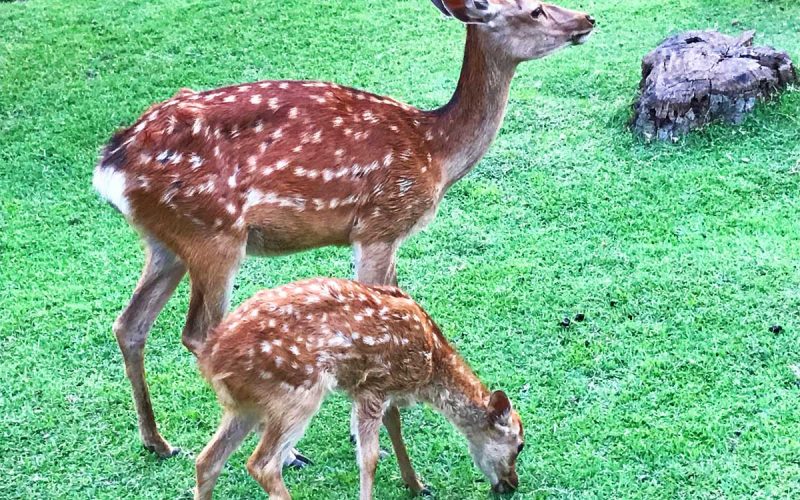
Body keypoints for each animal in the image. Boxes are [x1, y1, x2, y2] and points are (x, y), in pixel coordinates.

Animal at [92, 0, 593, 464]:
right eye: (535, 9)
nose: (587, 19)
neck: (436, 152)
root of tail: (110, 166)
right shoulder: (381, 224)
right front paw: (370, 432)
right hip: (214, 234)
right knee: (198, 332)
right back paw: (285, 451)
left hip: (166, 242)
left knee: (130, 323)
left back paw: (157, 441)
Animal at [194, 278, 524, 499]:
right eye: (520, 445)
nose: (512, 484)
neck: (431, 365)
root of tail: (210, 360)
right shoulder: (372, 387)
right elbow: (369, 458)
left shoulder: (382, 391)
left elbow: (395, 427)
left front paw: (417, 484)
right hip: (295, 394)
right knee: (261, 465)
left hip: (245, 406)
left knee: (206, 461)